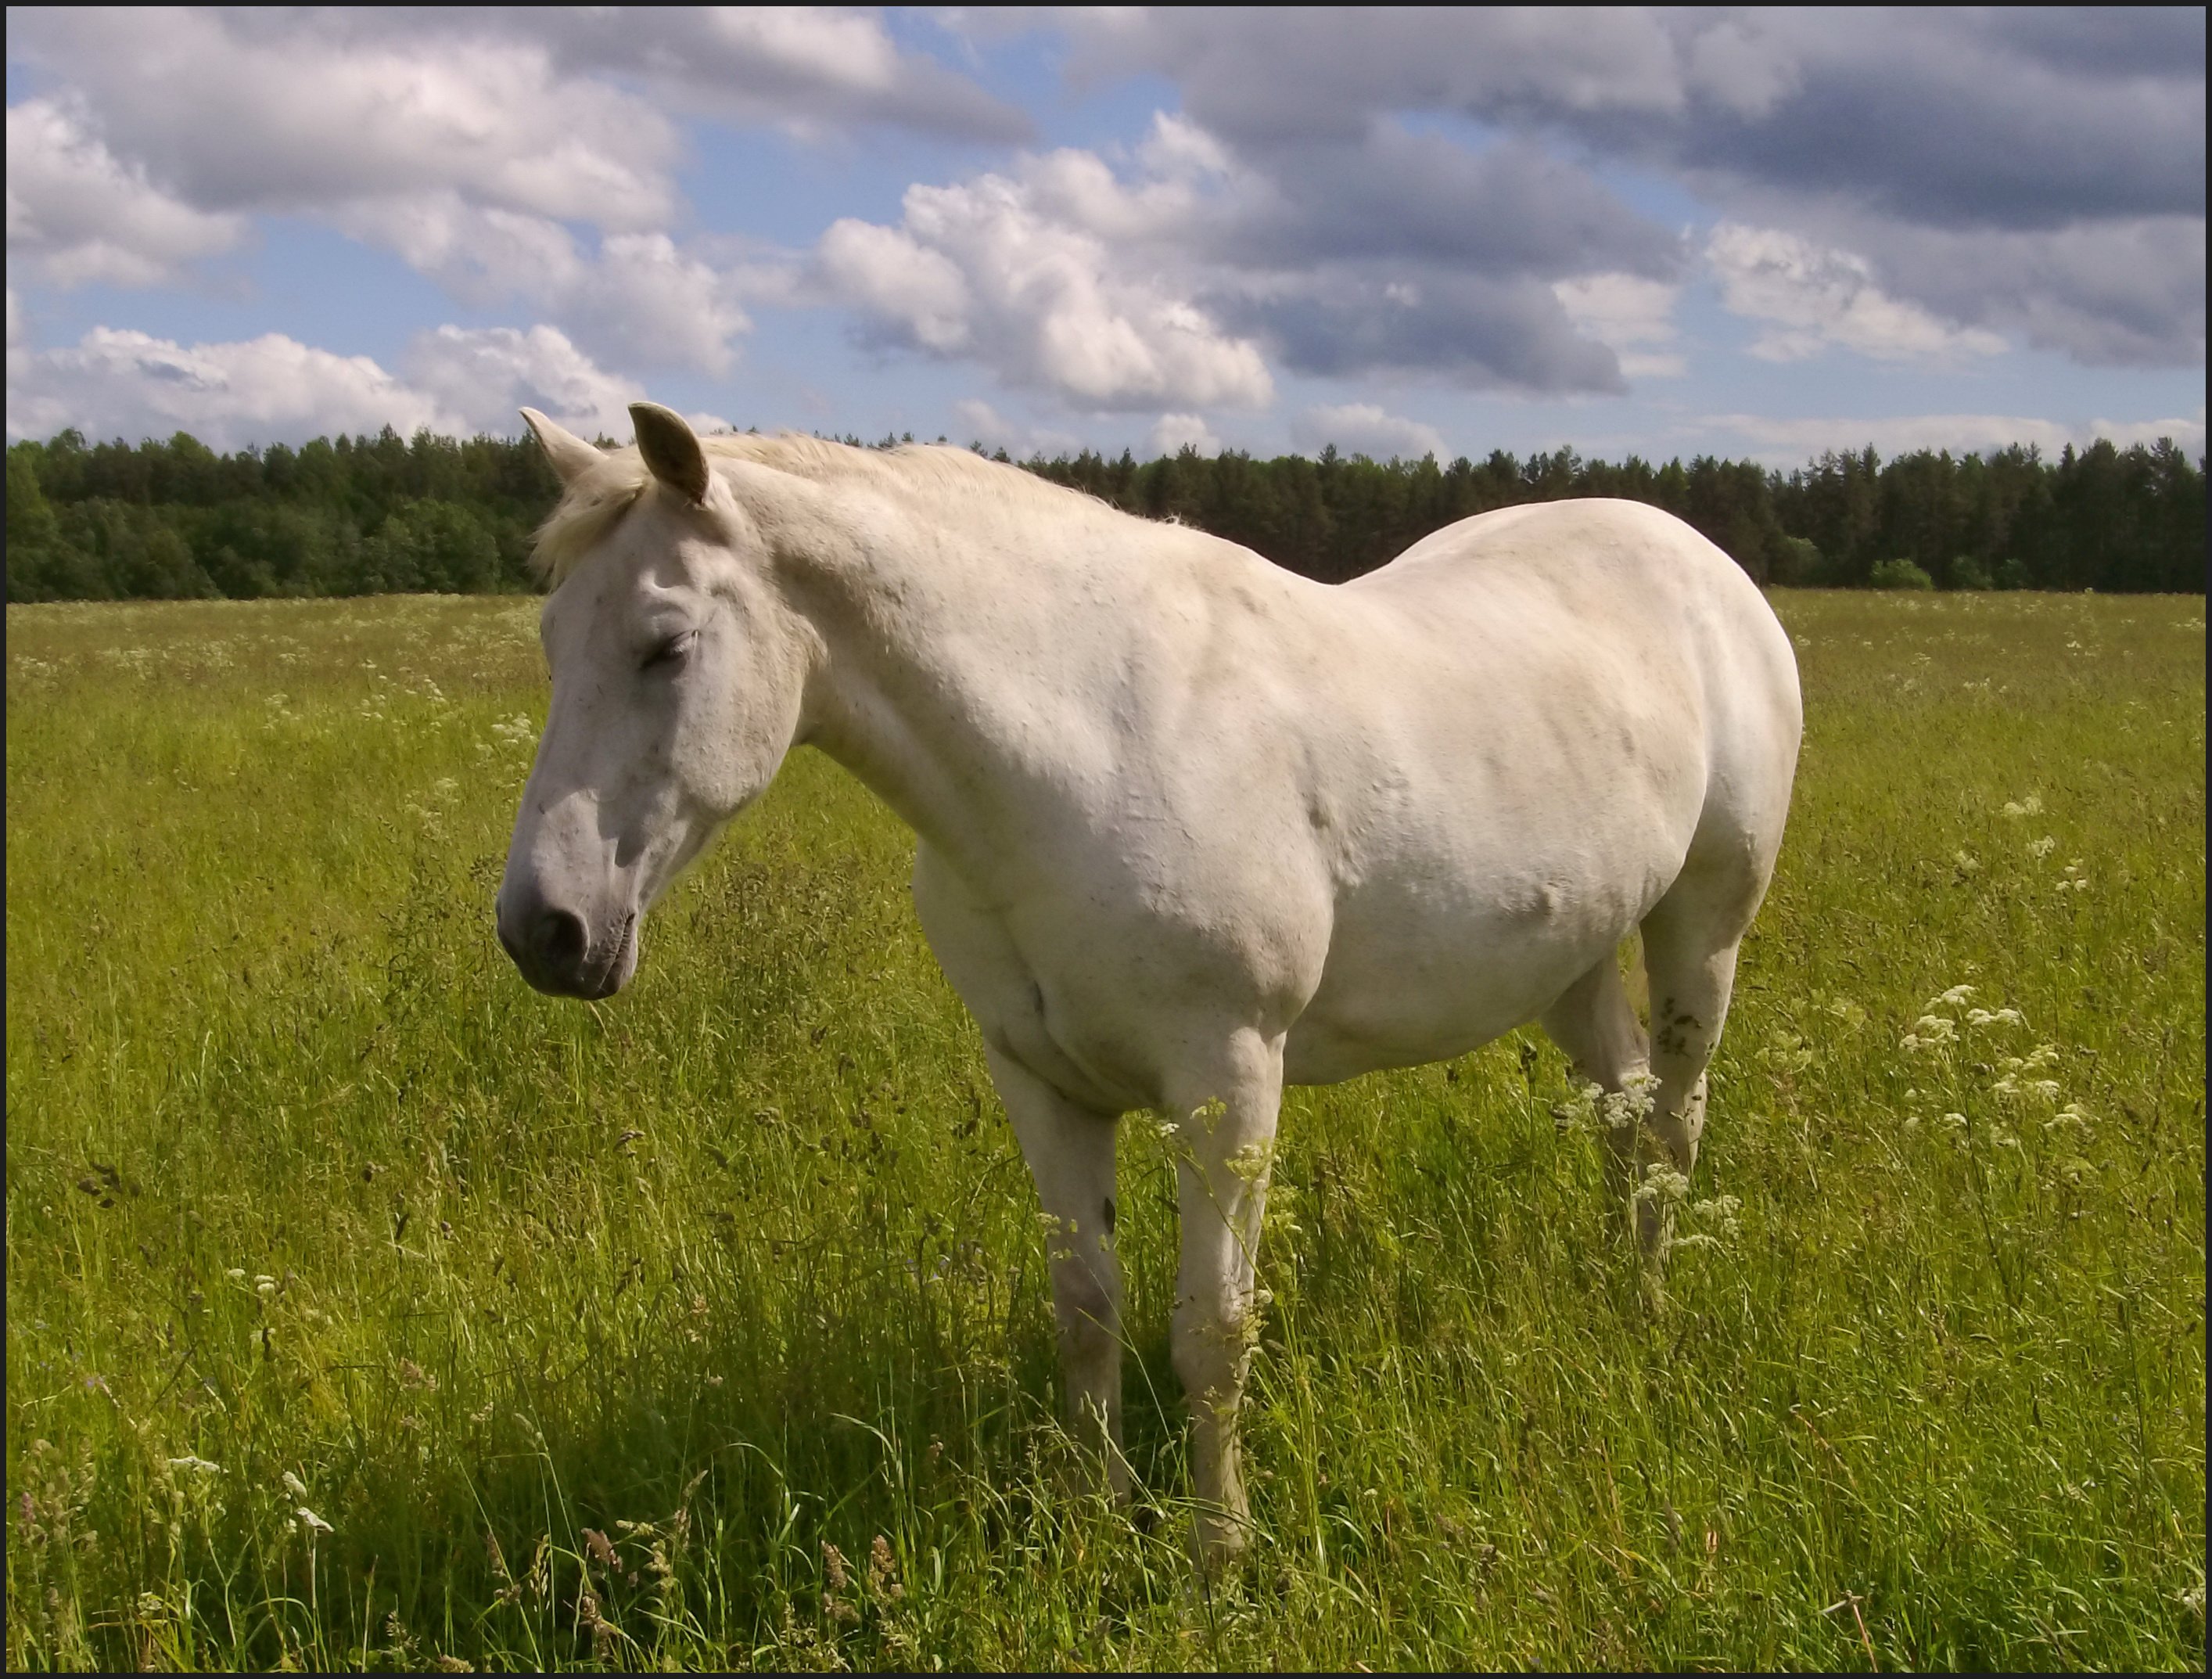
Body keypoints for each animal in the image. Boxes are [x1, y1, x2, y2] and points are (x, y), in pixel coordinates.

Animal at [497, 404, 1796, 1566]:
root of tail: (1698, 560)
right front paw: (1095, 1526)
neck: (1082, 749)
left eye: (665, 645)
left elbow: (1212, 1328)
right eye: (553, 640)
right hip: (1574, 948)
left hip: (1704, 923)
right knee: (1623, 1115)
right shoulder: (1040, 1080)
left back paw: (1647, 1313)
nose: (544, 930)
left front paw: (1219, 1557)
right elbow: (1087, 1311)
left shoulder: (1227, 1077)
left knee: (1672, 1123)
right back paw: (1609, 1295)